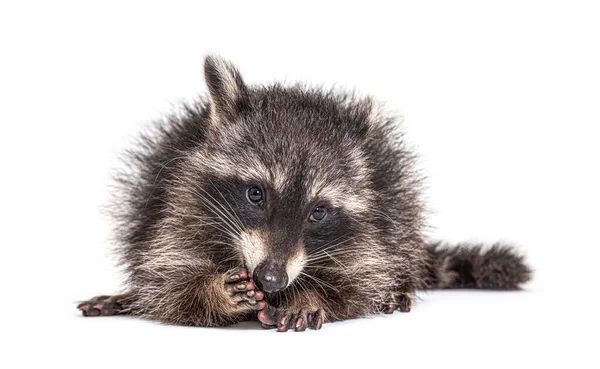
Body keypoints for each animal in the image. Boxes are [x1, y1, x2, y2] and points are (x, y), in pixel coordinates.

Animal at [77, 54, 532, 330]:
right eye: (256, 194)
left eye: (318, 212)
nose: (271, 278)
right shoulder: (180, 204)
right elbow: (168, 284)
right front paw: (211, 290)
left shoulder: (369, 232)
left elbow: (355, 283)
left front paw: (308, 294)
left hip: (397, 191)